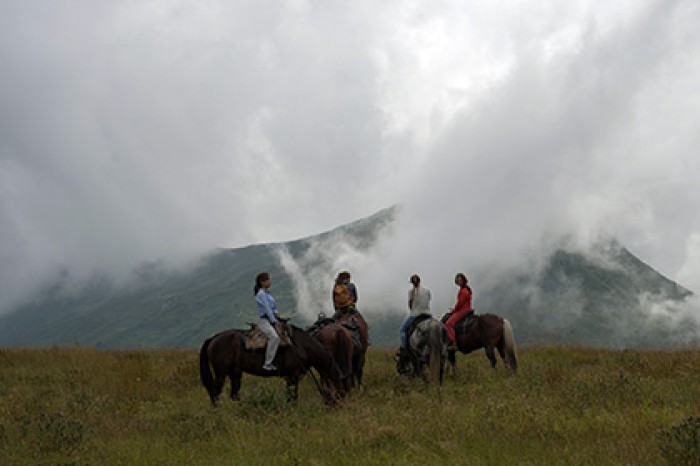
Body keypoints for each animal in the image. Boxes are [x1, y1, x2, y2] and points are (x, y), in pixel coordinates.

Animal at [200, 322, 344, 406]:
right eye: (341, 389)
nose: (342, 406)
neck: (301, 346)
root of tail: (213, 338)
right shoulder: (293, 374)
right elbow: (293, 396)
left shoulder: (291, 376)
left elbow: (290, 395)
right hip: (221, 373)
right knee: (215, 393)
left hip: (235, 372)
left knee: (234, 394)